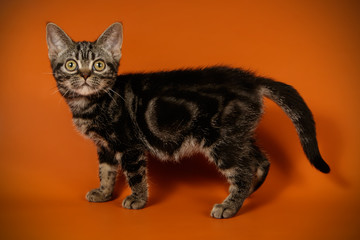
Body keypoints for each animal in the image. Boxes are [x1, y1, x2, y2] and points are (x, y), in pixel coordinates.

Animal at [45, 21, 330, 218]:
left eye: (99, 65)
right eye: (71, 65)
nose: (84, 75)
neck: (90, 104)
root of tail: (251, 80)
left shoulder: (129, 146)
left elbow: (135, 175)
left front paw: (137, 200)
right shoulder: (104, 146)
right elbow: (106, 171)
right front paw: (104, 193)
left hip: (222, 140)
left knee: (243, 170)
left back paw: (229, 206)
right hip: (238, 133)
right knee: (260, 160)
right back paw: (245, 194)